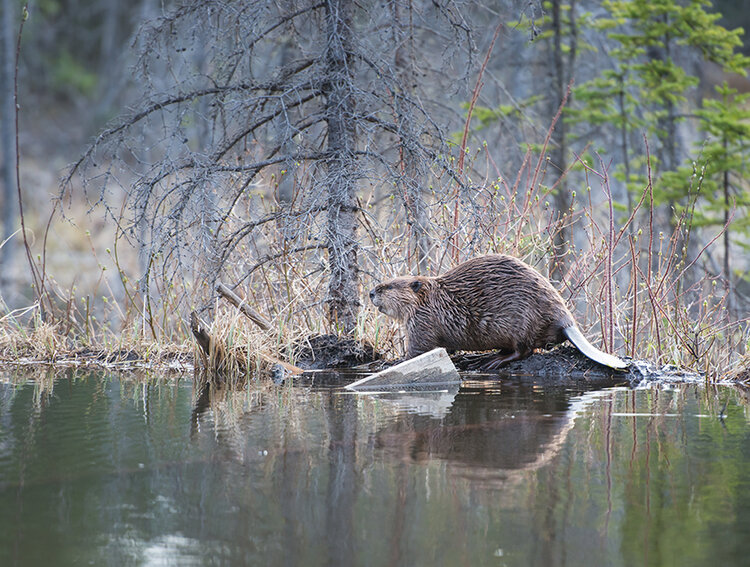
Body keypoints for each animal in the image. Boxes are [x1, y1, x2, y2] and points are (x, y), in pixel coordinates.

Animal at [370, 255, 628, 370]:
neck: (434, 299)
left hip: (522, 322)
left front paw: (393, 362)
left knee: (525, 350)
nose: (371, 292)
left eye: (387, 286)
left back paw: (491, 361)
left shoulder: (422, 321)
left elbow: (418, 350)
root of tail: (567, 322)